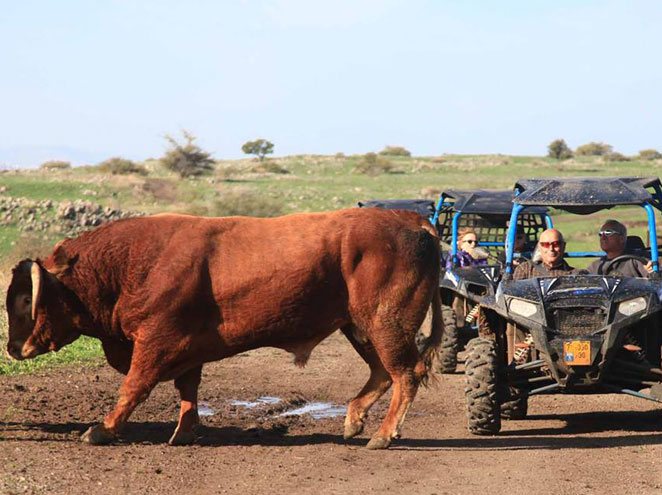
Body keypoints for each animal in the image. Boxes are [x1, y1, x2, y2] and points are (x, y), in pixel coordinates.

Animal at [5, 207, 444, 452]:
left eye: (27, 300)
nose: (12, 347)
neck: (131, 262)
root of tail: (414, 221)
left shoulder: (155, 343)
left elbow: (134, 387)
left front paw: (102, 430)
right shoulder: (185, 350)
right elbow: (187, 390)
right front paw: (184, 432)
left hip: (384, 325)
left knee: (406, 374)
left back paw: (382, 435)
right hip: (360, 328)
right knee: (383, 373)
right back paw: (354, 422)